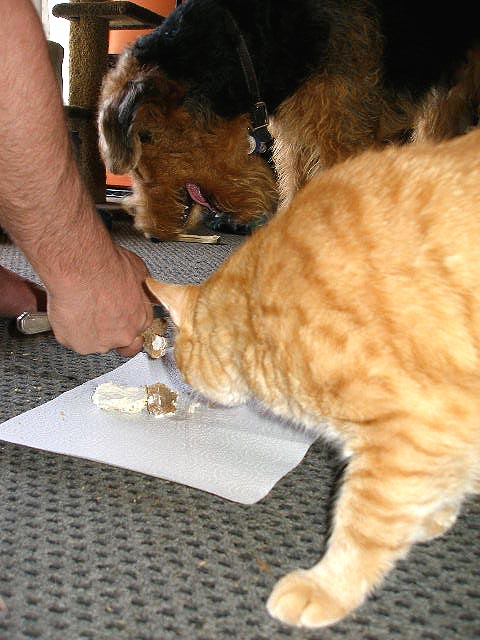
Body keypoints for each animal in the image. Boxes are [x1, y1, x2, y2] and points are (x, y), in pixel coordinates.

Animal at [146, 127, 480, 628]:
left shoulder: (408, 434)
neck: (260, 314)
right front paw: (437, 512)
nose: (183, 382)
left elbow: (363, 524)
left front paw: (326, 587)